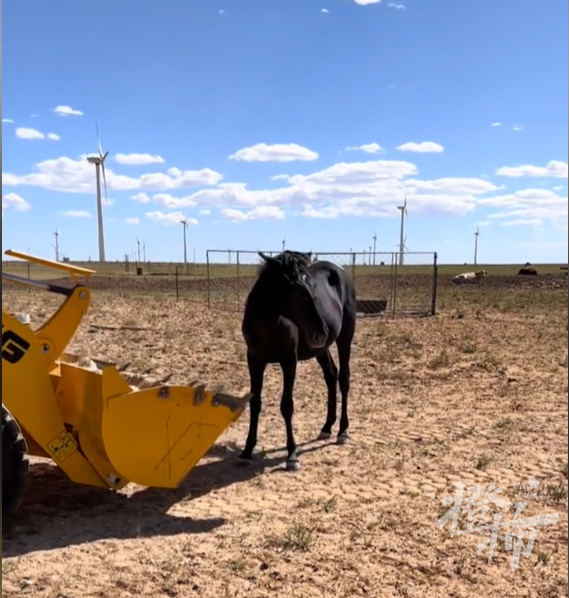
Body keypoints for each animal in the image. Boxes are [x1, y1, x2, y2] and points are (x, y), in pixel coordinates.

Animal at [239, 251, 356, 472]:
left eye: (312, 286)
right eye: (295, 288)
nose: (322, 331)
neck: (269, 324)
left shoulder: (289, 361)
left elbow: (287, 406)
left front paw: (292, 455)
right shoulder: (254, 360)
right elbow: (255, 403)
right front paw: (247, 450)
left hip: (345, 337)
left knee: (344, 379)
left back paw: (342, 431)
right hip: (321, 349)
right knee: (331, 376)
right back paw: (327, 427)